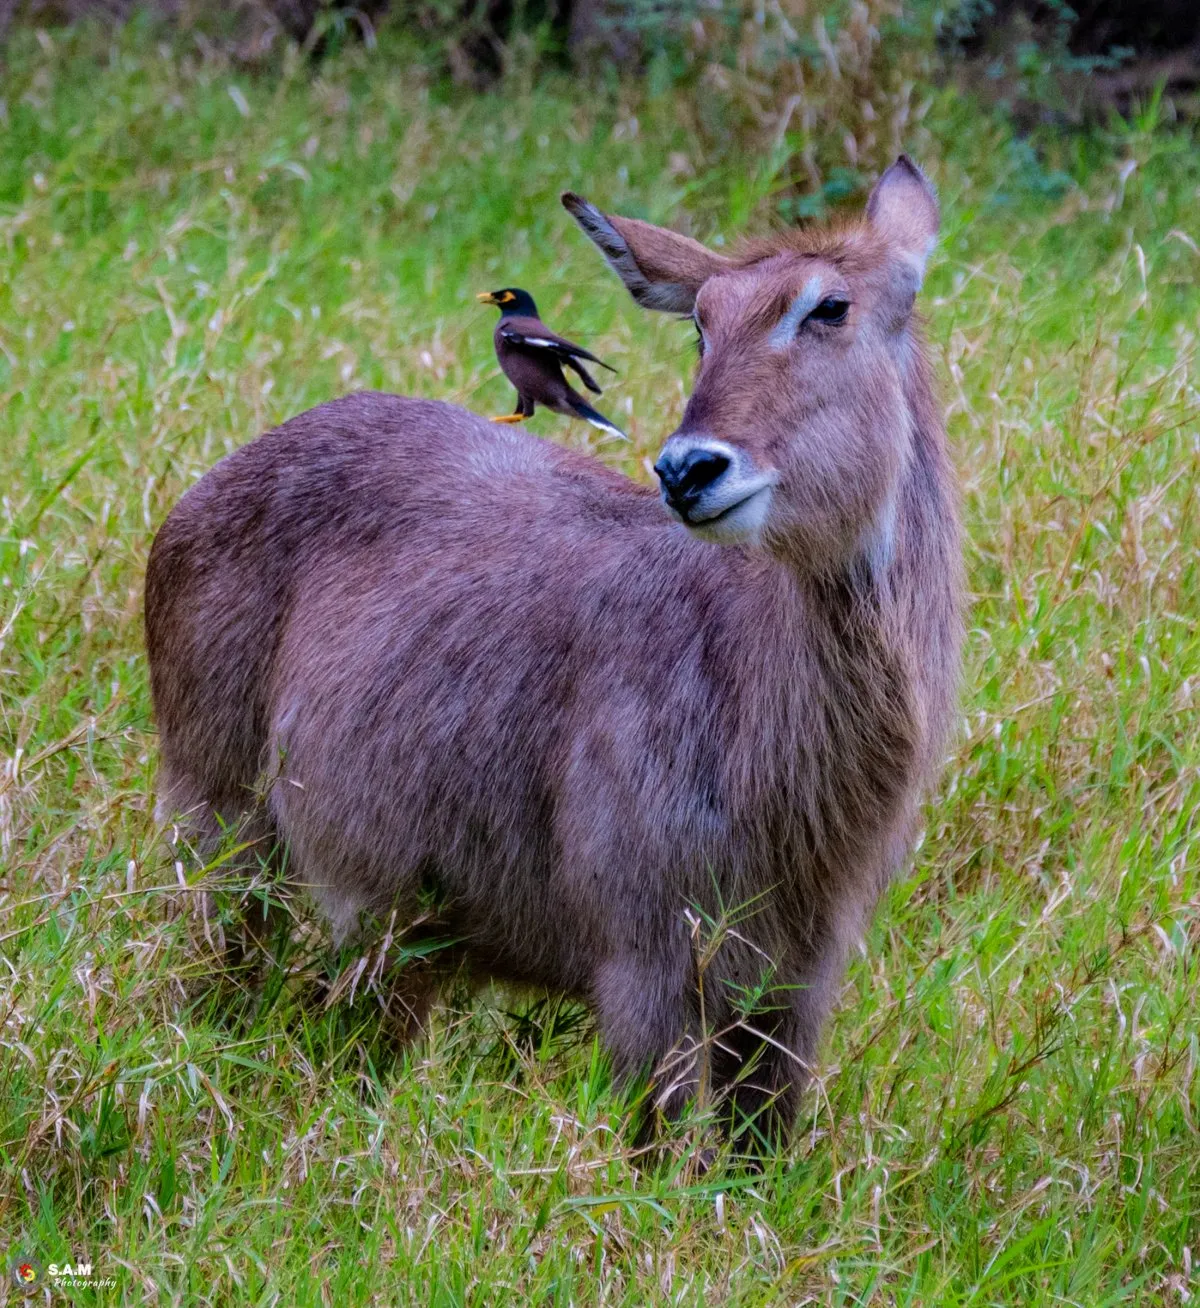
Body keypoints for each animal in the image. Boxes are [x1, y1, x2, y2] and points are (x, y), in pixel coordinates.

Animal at [144, 156, 962, 1150]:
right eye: (701, 322)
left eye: (829, 306)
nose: (687, 469)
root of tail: (213, 480)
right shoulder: (646, 965)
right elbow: (658, 1156)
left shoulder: (795, 990)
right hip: (218, 827)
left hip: (402, 931)